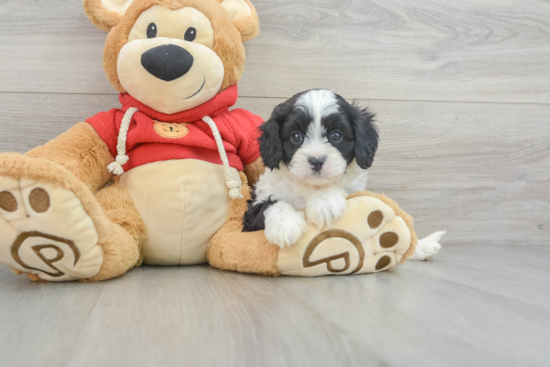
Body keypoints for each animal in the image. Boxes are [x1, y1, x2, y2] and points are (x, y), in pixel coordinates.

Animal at [244, 90, 382, 249]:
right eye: (296, 136)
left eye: (336, 135)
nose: (316, 161)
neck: (308, 186)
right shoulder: (254, 209)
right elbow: (269, 203)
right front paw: (285, 225)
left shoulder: (356, 190)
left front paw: (324, 202)